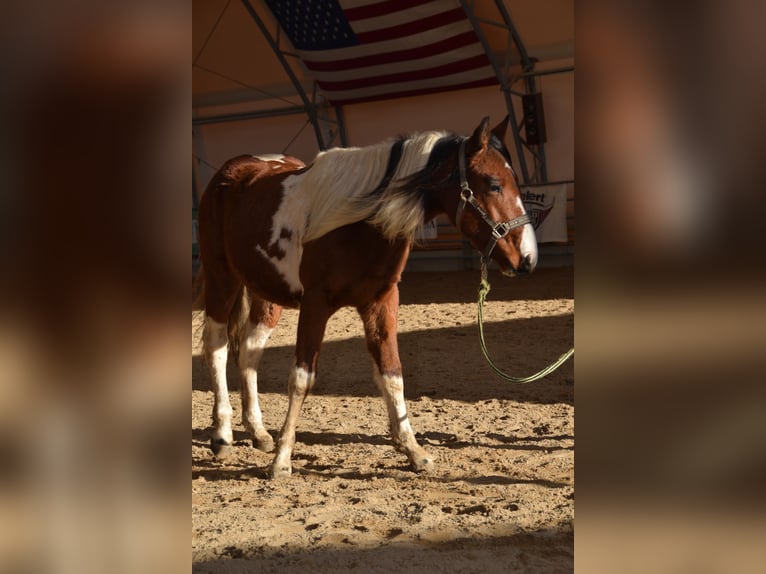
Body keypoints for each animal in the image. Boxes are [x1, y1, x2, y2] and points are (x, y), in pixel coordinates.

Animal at [196, 117, 537, 479]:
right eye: (493, 184)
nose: (527, 258)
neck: (359, 223)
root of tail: (231, 171)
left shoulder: (381, 302)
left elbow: (392, 374)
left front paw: (414, 451)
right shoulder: (315, 305)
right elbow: (301, 379)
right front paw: (282, 459)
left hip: (267, 295)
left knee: (249, 350)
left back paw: (259, 432)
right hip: (222, 280)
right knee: (216, 347)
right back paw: (222, 435)